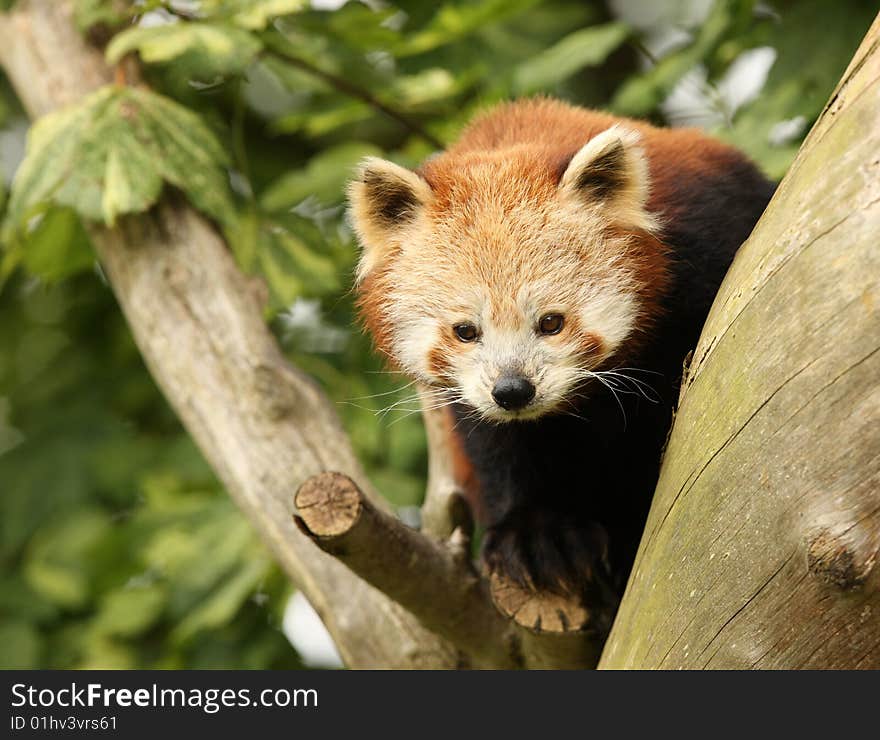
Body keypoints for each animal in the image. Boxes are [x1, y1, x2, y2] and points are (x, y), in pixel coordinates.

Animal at [348, 94, 772, 612]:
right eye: (465, 331)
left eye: (550, 322)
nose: (513, 391)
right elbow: (497, 444)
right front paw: (535, 532)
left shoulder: (704, 244)